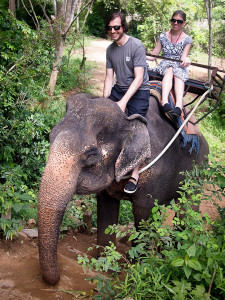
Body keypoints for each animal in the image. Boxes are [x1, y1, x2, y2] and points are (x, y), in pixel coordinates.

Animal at [37, 92, 208, 284]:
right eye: (50, 137)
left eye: (90, 155)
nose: (58, 277)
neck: (127, 117)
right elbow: (107, 207)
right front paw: (104, 262)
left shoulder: (156, 172)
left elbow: (143, 213)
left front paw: (139, 268)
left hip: (198, 173)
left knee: (187, 209)